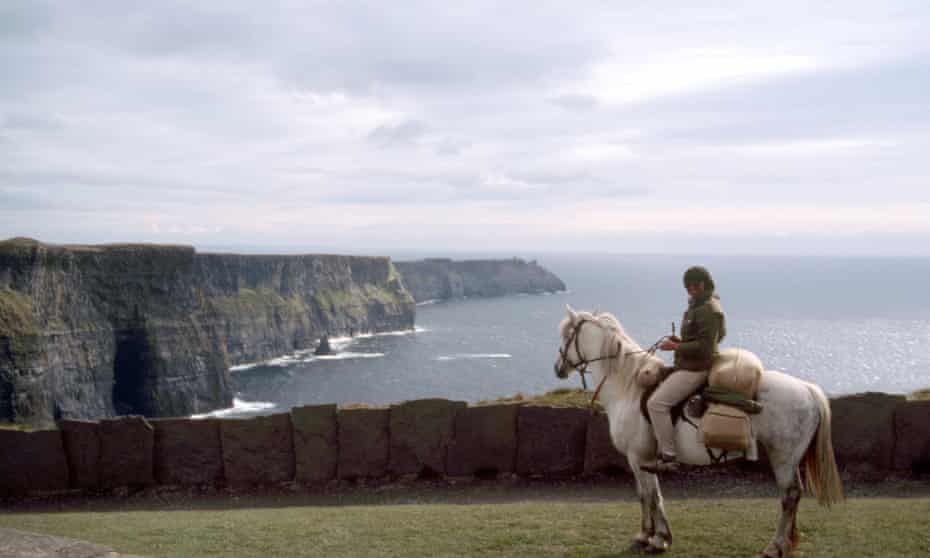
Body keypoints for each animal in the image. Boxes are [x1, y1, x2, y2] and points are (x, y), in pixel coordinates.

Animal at [556, 308, 844, 556]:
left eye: (566, 335)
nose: (558, 368)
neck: (628, 387)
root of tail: (807, 389)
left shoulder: (638, 458)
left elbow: (648, 496)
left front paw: (652, 537)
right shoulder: (646, 460)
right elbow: (652, 496)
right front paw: (657, 536)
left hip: (783, 456)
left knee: (789, 496)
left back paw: (775, 547)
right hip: (790, 458)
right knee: (794, 495)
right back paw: (786, 544)